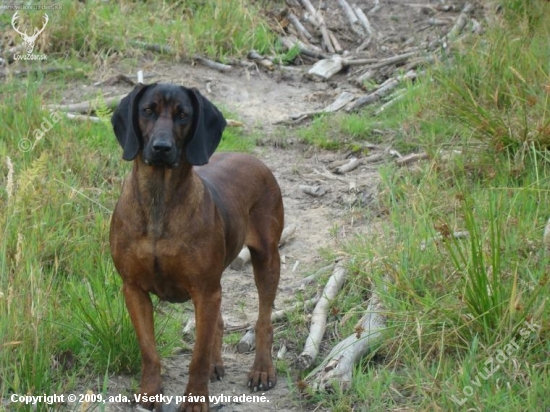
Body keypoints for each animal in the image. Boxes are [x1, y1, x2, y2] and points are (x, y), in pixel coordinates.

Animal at [110, 82, 286, 410]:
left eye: (183, 115)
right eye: (147, 110)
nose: (162, 148)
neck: (159, 199)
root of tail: (253, 159)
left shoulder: (204, 291)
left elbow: (197, 357)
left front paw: (194, 400)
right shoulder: (134, 289)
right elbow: (149, 351)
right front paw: (149, 393)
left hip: (267, 259)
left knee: (264, 320)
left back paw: (262, 369)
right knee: (218, 323)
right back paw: (218, 363)